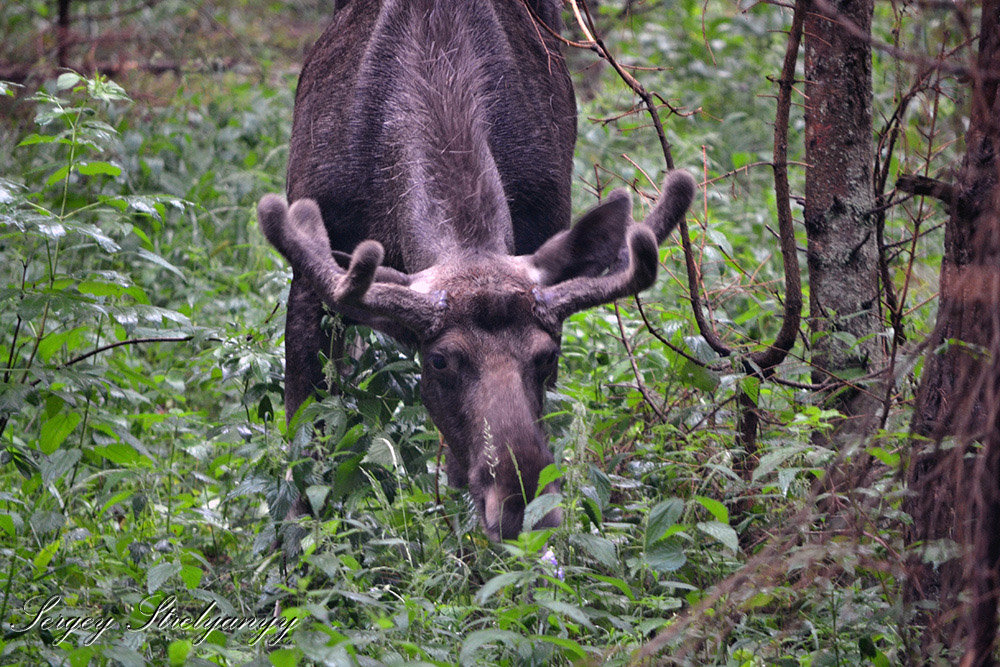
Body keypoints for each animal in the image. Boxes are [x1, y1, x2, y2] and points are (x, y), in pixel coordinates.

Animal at [258, 0, 696, 540]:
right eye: (440, 360)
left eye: (547, 356)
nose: (524, 510)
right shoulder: (311, 271)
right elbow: (305, 440)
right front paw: (295, 550)